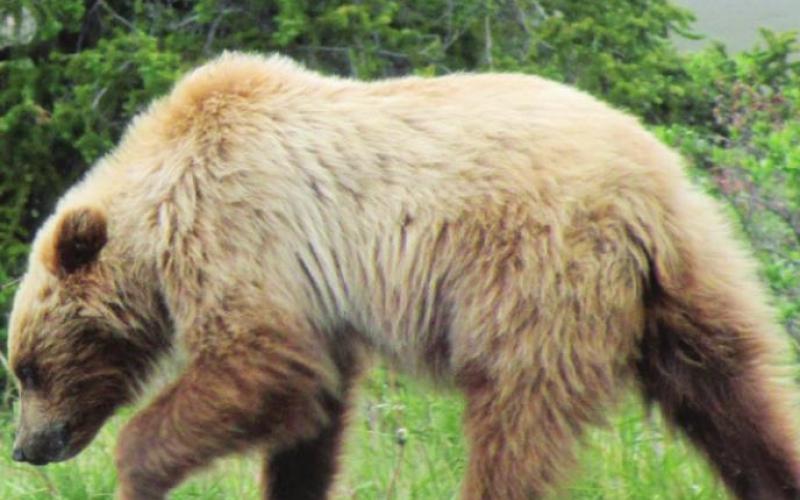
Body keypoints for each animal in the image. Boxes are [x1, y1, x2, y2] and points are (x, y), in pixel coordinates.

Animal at [6, 52, 800, 500]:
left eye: (28, 369)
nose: (28, 448)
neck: (160, 199)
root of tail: (643, 192)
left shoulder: (240, 226)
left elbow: (259, 361)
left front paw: (135, 469)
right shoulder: (316, 296)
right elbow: (312, 409)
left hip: (533, 278)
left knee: (516, 421)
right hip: (692, 277)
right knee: (735, 395)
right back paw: (774, 474)